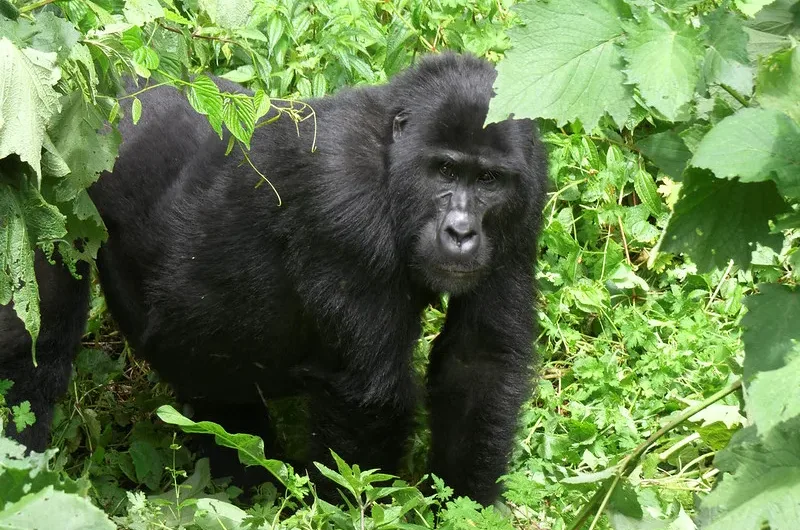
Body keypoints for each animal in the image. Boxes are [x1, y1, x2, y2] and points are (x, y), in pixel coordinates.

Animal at [0, 52, 552, 504]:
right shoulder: (343, 197)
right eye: (444, 171)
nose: (461, 232)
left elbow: (478, 363)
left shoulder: (528, 195)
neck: (389, 156)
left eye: (488, 180)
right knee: (36, 349)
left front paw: (464, 507)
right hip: (39, 179)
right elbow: (369, 397)